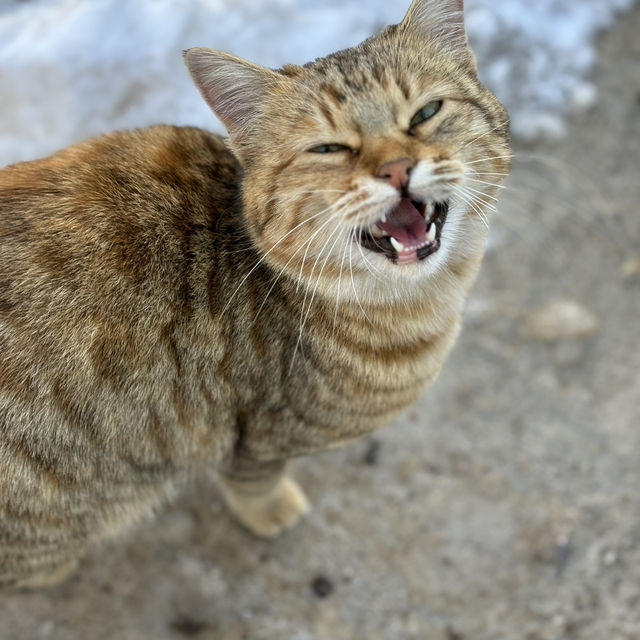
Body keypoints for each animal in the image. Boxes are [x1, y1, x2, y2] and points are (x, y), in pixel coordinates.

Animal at [0, 0, 510, 592]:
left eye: (425, 112)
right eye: (329, 148)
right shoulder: (252, 436)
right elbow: (253, 482)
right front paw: (271, 512)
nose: (397, 168)